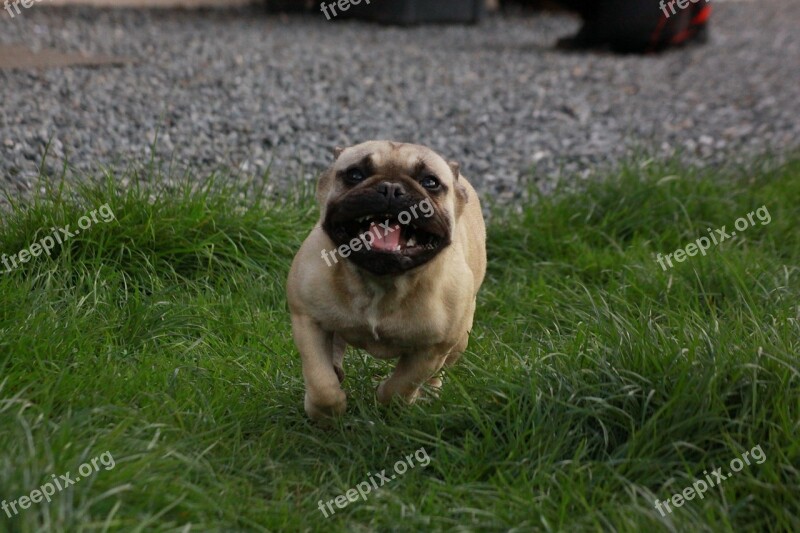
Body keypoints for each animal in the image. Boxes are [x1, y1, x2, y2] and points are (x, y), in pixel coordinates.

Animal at [288, 140, 488, 420]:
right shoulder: (308, 320)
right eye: (355, 174)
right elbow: (320, 380)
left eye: (430, 182)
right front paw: (326, 413)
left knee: (437, 372)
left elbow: (402, 384)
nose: (391, 188)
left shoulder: (433, 348)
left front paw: (389, 402)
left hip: (459, 340)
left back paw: (429, 393)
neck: (381, 282)